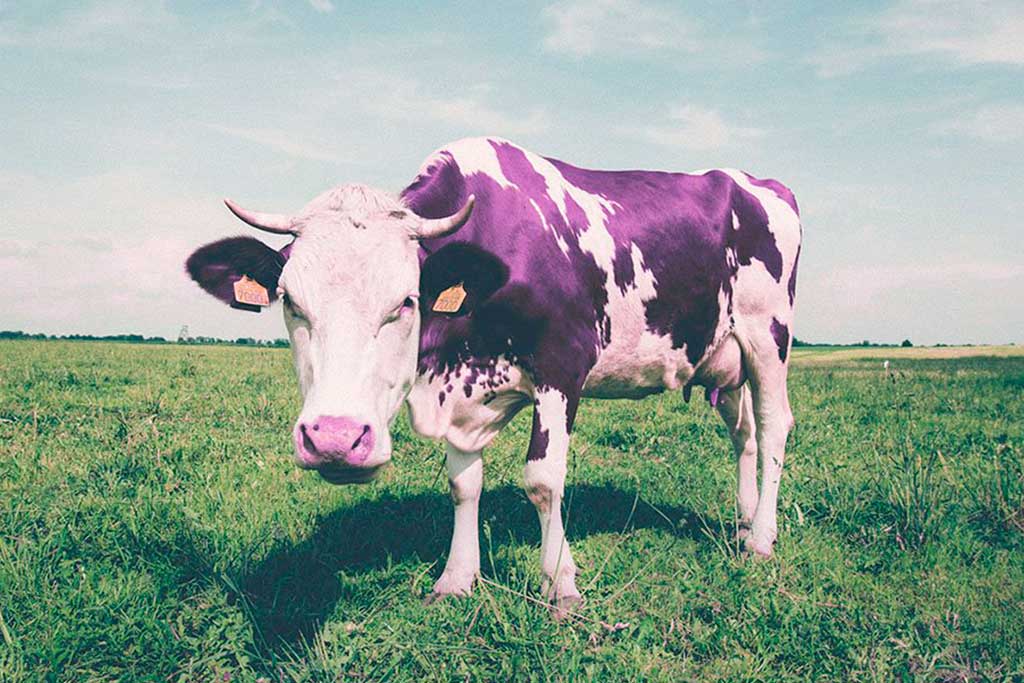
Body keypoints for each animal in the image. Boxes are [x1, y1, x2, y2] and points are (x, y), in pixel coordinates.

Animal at [186, 137, 801, 615]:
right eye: (291, 302)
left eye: (406, 302)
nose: (335, 439)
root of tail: (755, 182)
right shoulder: (456, 394)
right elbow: (464, 484)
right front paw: (457, 579)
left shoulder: (562, 366)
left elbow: (543, 480)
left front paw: (560, 584)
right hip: (725, 356)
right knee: (743, 434)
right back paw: (743, 522)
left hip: (768, 335)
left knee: (773, 426)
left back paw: (762, 539)